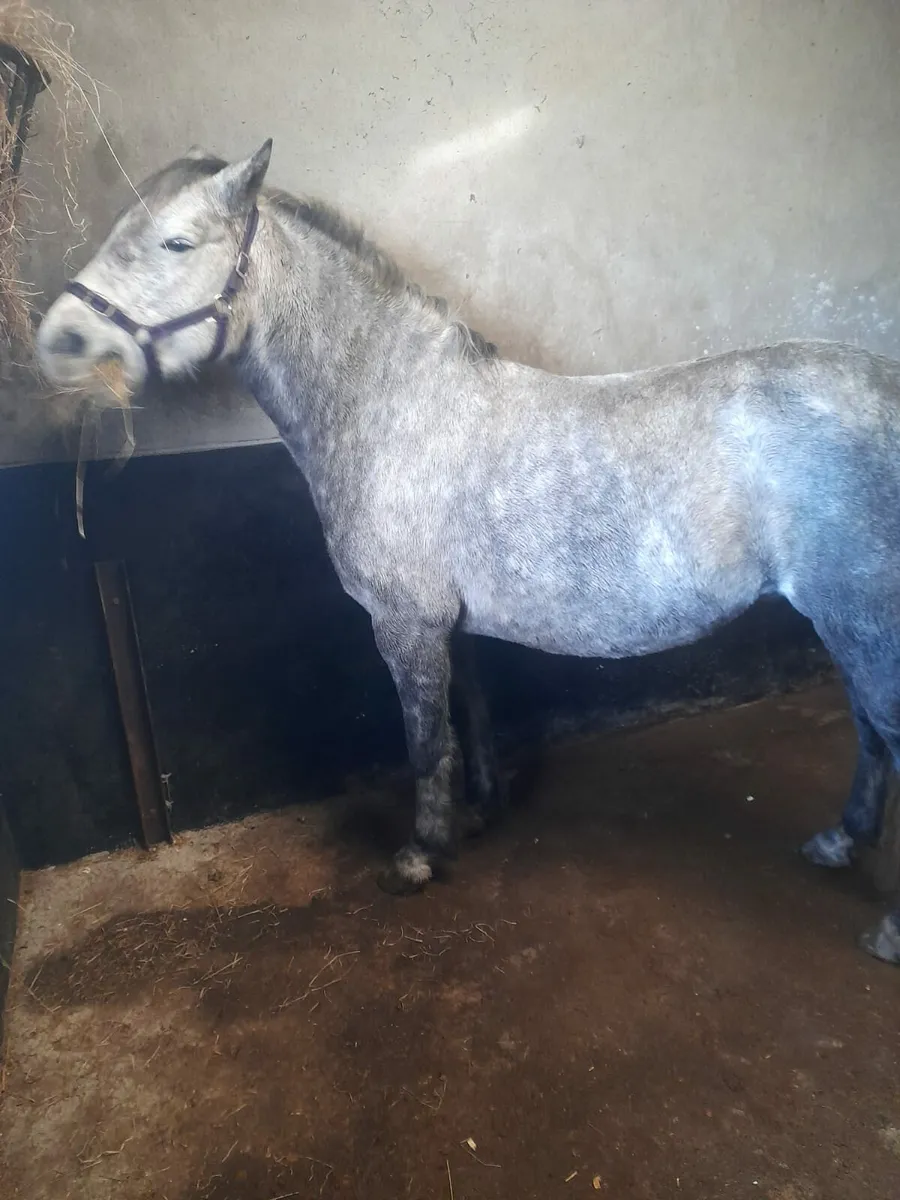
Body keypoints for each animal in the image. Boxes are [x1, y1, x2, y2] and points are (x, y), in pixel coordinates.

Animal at [35, 140, 900, 966]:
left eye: (176, 242)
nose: (57, 342)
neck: (393, 409)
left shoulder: (405, 625)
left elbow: (424, 741)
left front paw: (420, 856)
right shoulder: (452, 627)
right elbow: (470, 718)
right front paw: (481, 813)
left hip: (861, 620)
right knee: (870, 731)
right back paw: (838, 842)